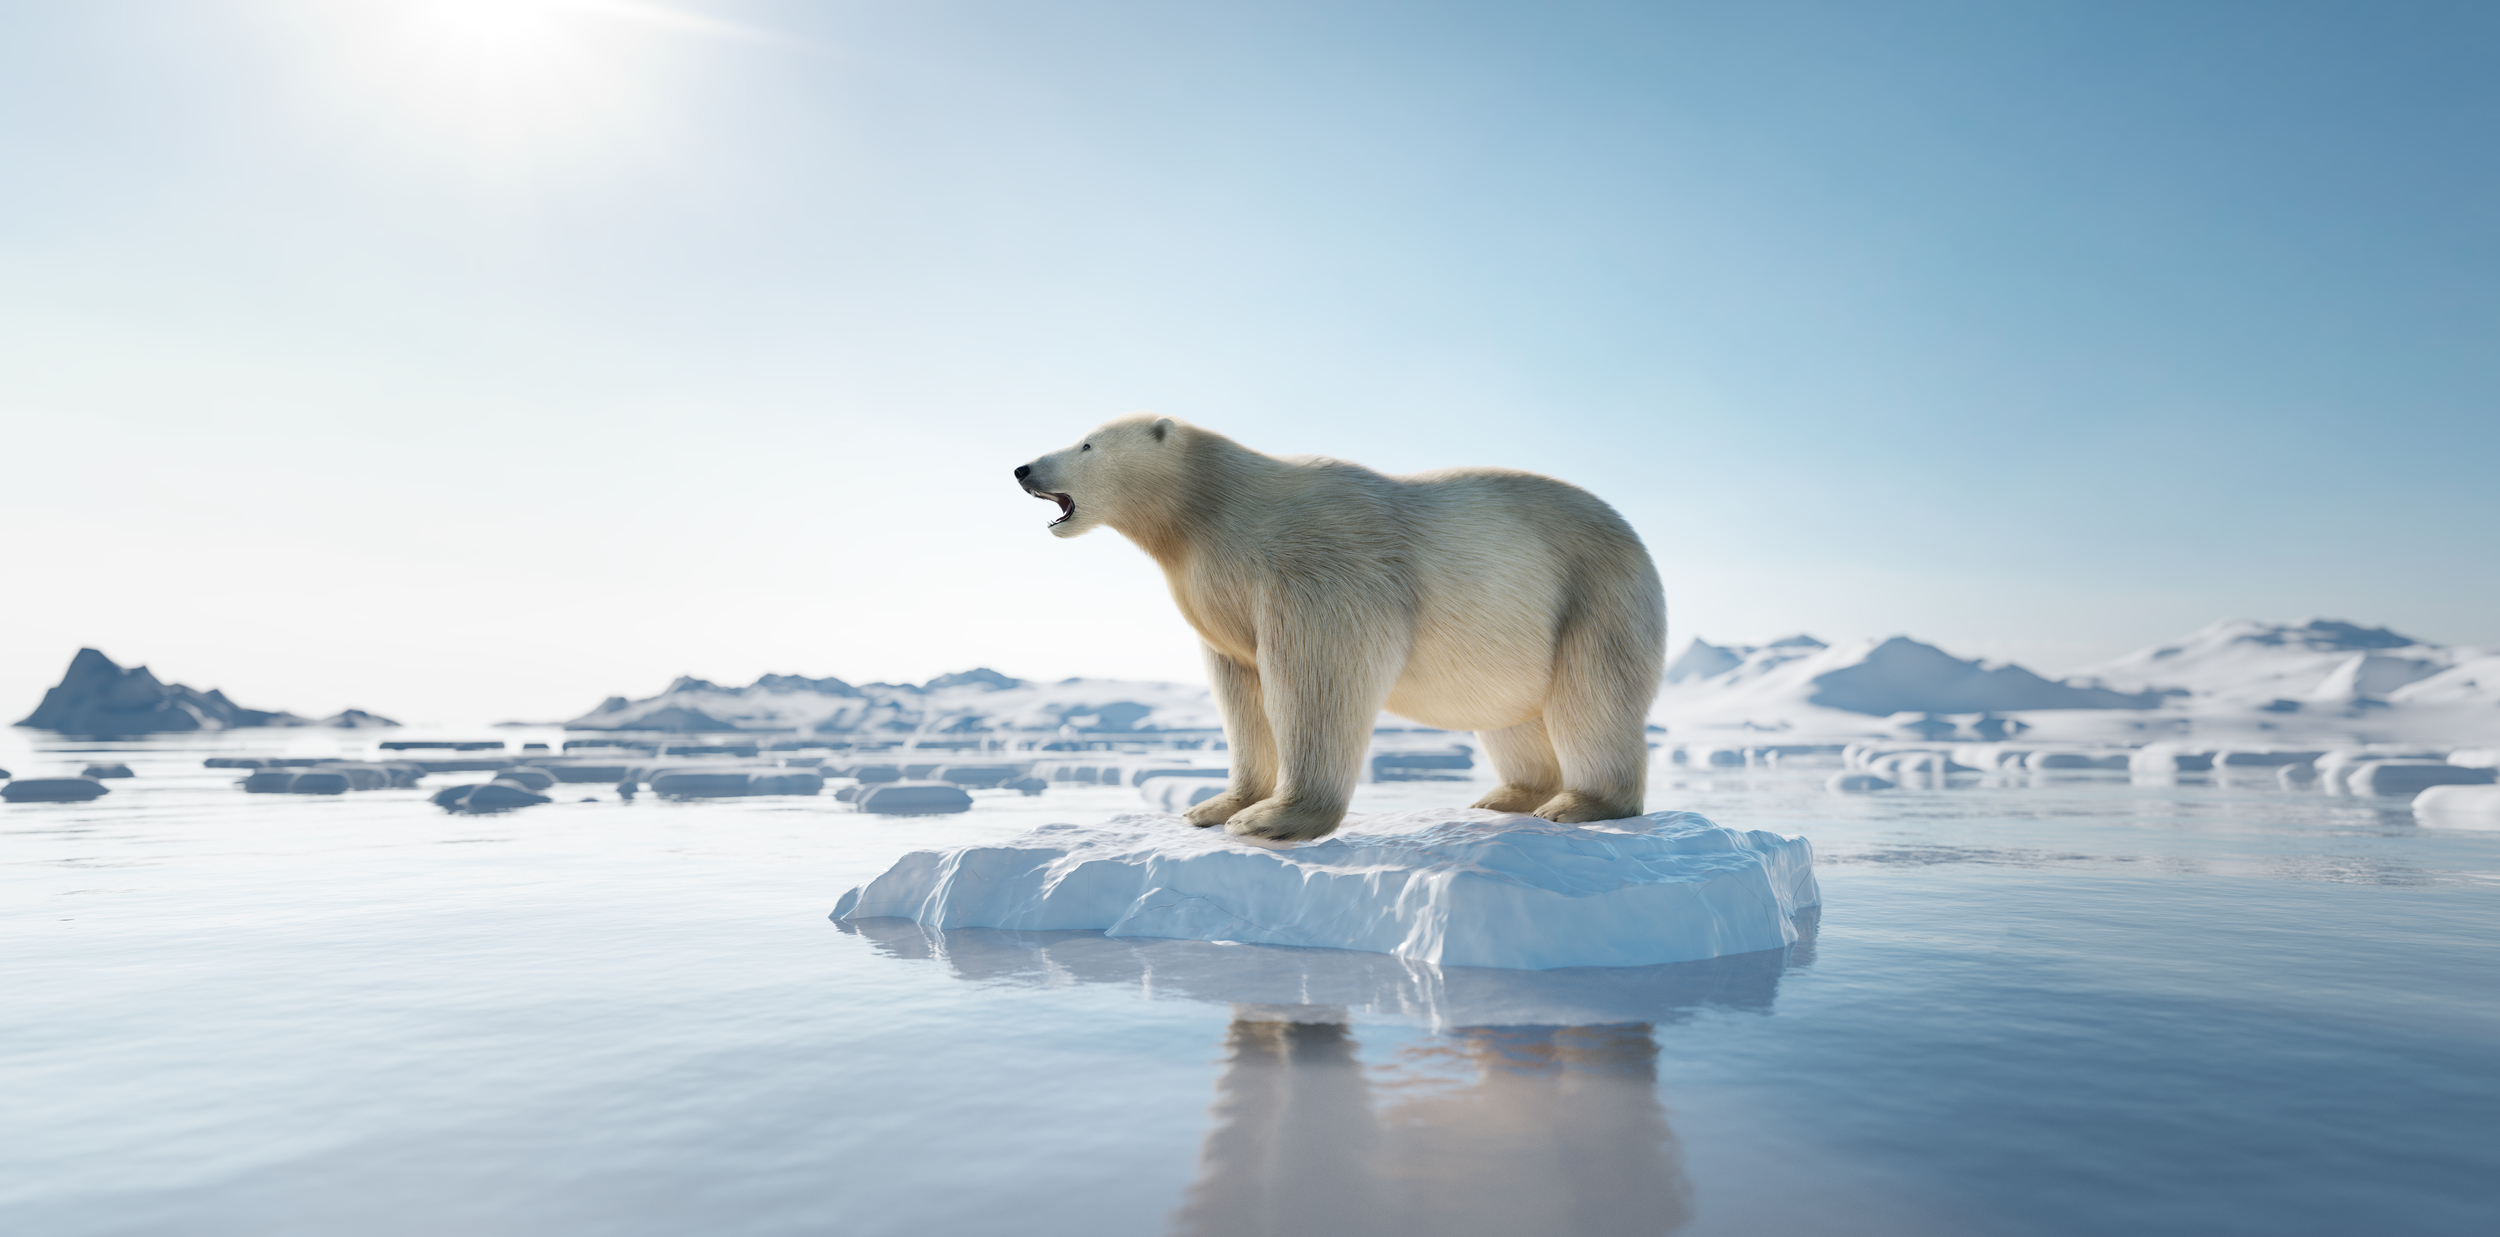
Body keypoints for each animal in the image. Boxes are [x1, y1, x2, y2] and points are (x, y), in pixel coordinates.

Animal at [1014, 415, 1665, 842]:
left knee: (1591, 699)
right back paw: (1504, 797)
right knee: (1512, 715)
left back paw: (1577, 804)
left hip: (1594, 595)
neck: (1213, 510)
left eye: (1086, 442)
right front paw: (1214, 806)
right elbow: (1240, 692)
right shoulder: (1222, 599)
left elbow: (1318, 677)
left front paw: (1271, 819)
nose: (1022, 468)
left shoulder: (1318, 566)